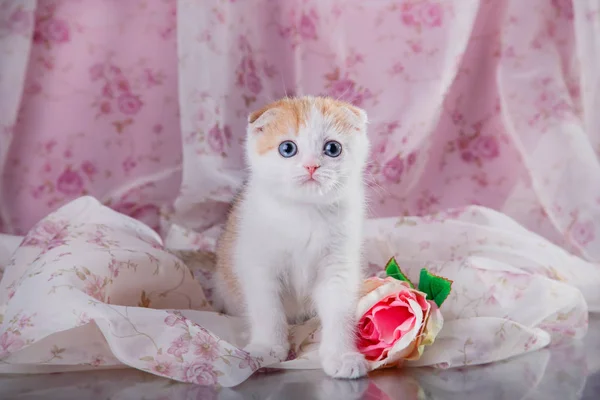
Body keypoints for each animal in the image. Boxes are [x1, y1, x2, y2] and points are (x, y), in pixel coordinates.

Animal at [213, 94, 368, 378]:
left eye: (333, 148)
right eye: (287, 148)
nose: (311, 166)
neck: (304, 212)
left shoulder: (338, 266)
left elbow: (339, 312)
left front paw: (342, 356)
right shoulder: (260, 266)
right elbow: (267, 310)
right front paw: (267, 347)